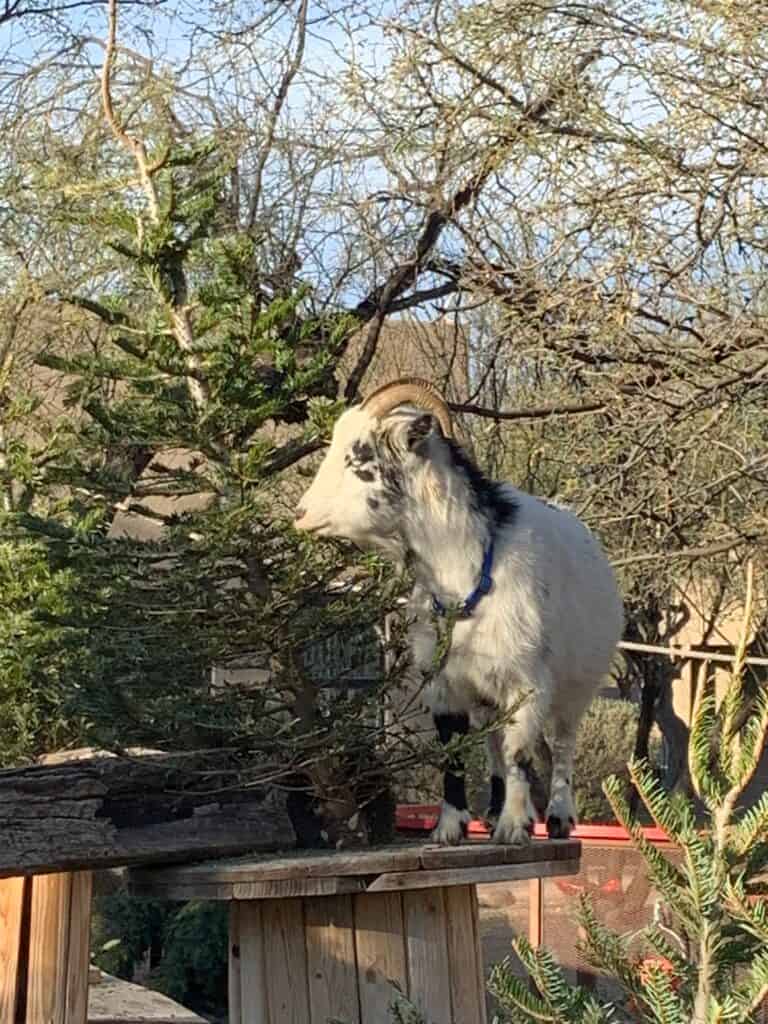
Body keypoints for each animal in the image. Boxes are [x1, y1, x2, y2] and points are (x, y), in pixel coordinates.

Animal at [294, 379, 623, 845]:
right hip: (487, 693)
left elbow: (520, 751)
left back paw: (557, 817)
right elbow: (455, 749)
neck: (467, 574)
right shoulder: (444, 682)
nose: (301, 514)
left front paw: (513, 828)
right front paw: (451, 827)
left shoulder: (528, 682)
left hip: (578, 685)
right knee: (492, 743)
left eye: (358, 457)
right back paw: (495, 809)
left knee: (561, 744)